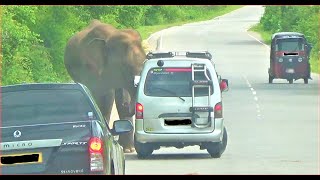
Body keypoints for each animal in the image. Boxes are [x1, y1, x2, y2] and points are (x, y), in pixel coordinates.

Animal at [64, 19, 146, 153]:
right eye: (125, 67)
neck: (110, 36)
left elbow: (121, 94)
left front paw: (128, 150)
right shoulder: (91, 68)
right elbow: (106, 97)